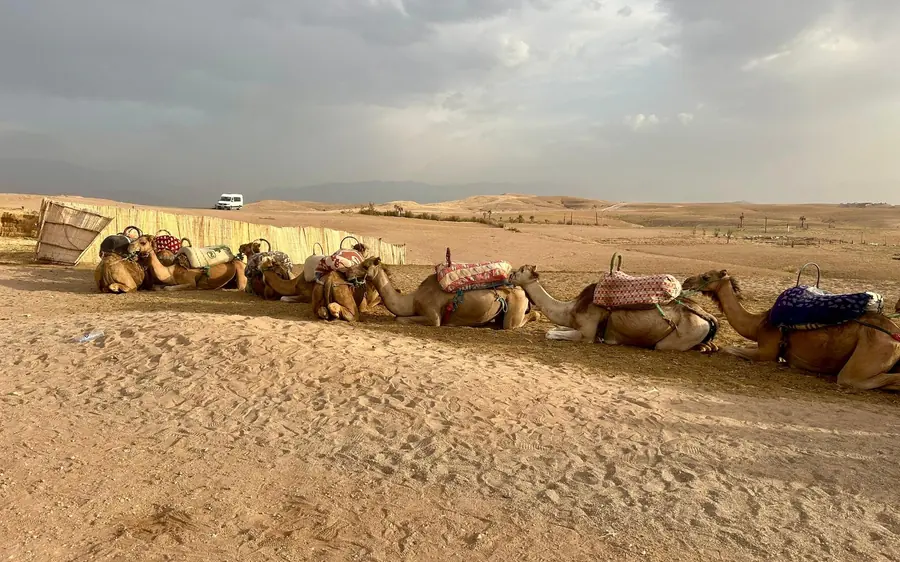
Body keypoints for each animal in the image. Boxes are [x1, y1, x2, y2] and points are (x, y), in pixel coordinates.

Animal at [349, 257, 540, 328]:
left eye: (365, 265)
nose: (347, 272)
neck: (412, 300)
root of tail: (522, 290)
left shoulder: (433, 317)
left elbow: (399, 318)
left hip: (514, 307)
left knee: (518, 321)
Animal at [508, 265, 719, 352]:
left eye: (521, 270)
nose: (510, 274)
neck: (571, 309)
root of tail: (707, 316)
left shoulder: (587, 333)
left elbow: (550, 333)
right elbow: (556, 328)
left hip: (683, 333)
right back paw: (706, 347)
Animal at [681, 269, 900, 391]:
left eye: (706, 276)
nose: (685, 281)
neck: (759, 323)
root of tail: (895, 336)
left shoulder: (767, 350)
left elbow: (730, 349)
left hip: (871, 349)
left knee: (852, 379)